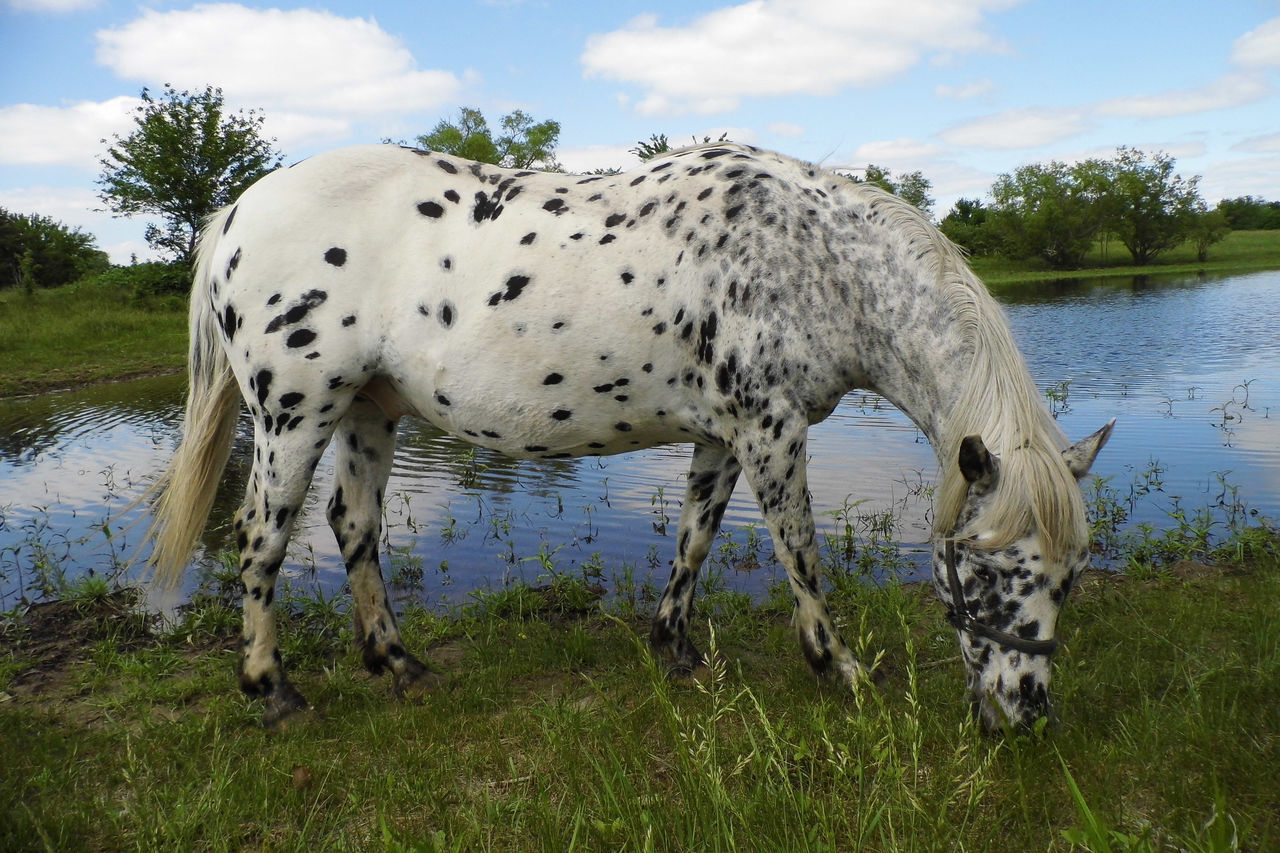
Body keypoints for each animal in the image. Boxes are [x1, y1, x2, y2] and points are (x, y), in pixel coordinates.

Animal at [145, 142, 1116, 727]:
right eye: (988, 569)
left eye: (1071, 575)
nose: (1024, 709)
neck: (815, 262)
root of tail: (238, 213)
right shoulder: (771, 430)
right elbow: (800, 553)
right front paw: (839, 667)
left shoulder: (725, 434)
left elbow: (696, 538)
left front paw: (675, 649)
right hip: (295, 414)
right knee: (261, 538)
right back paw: (274, 691)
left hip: (368, 412)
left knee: (354, 529)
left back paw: (398, 662)